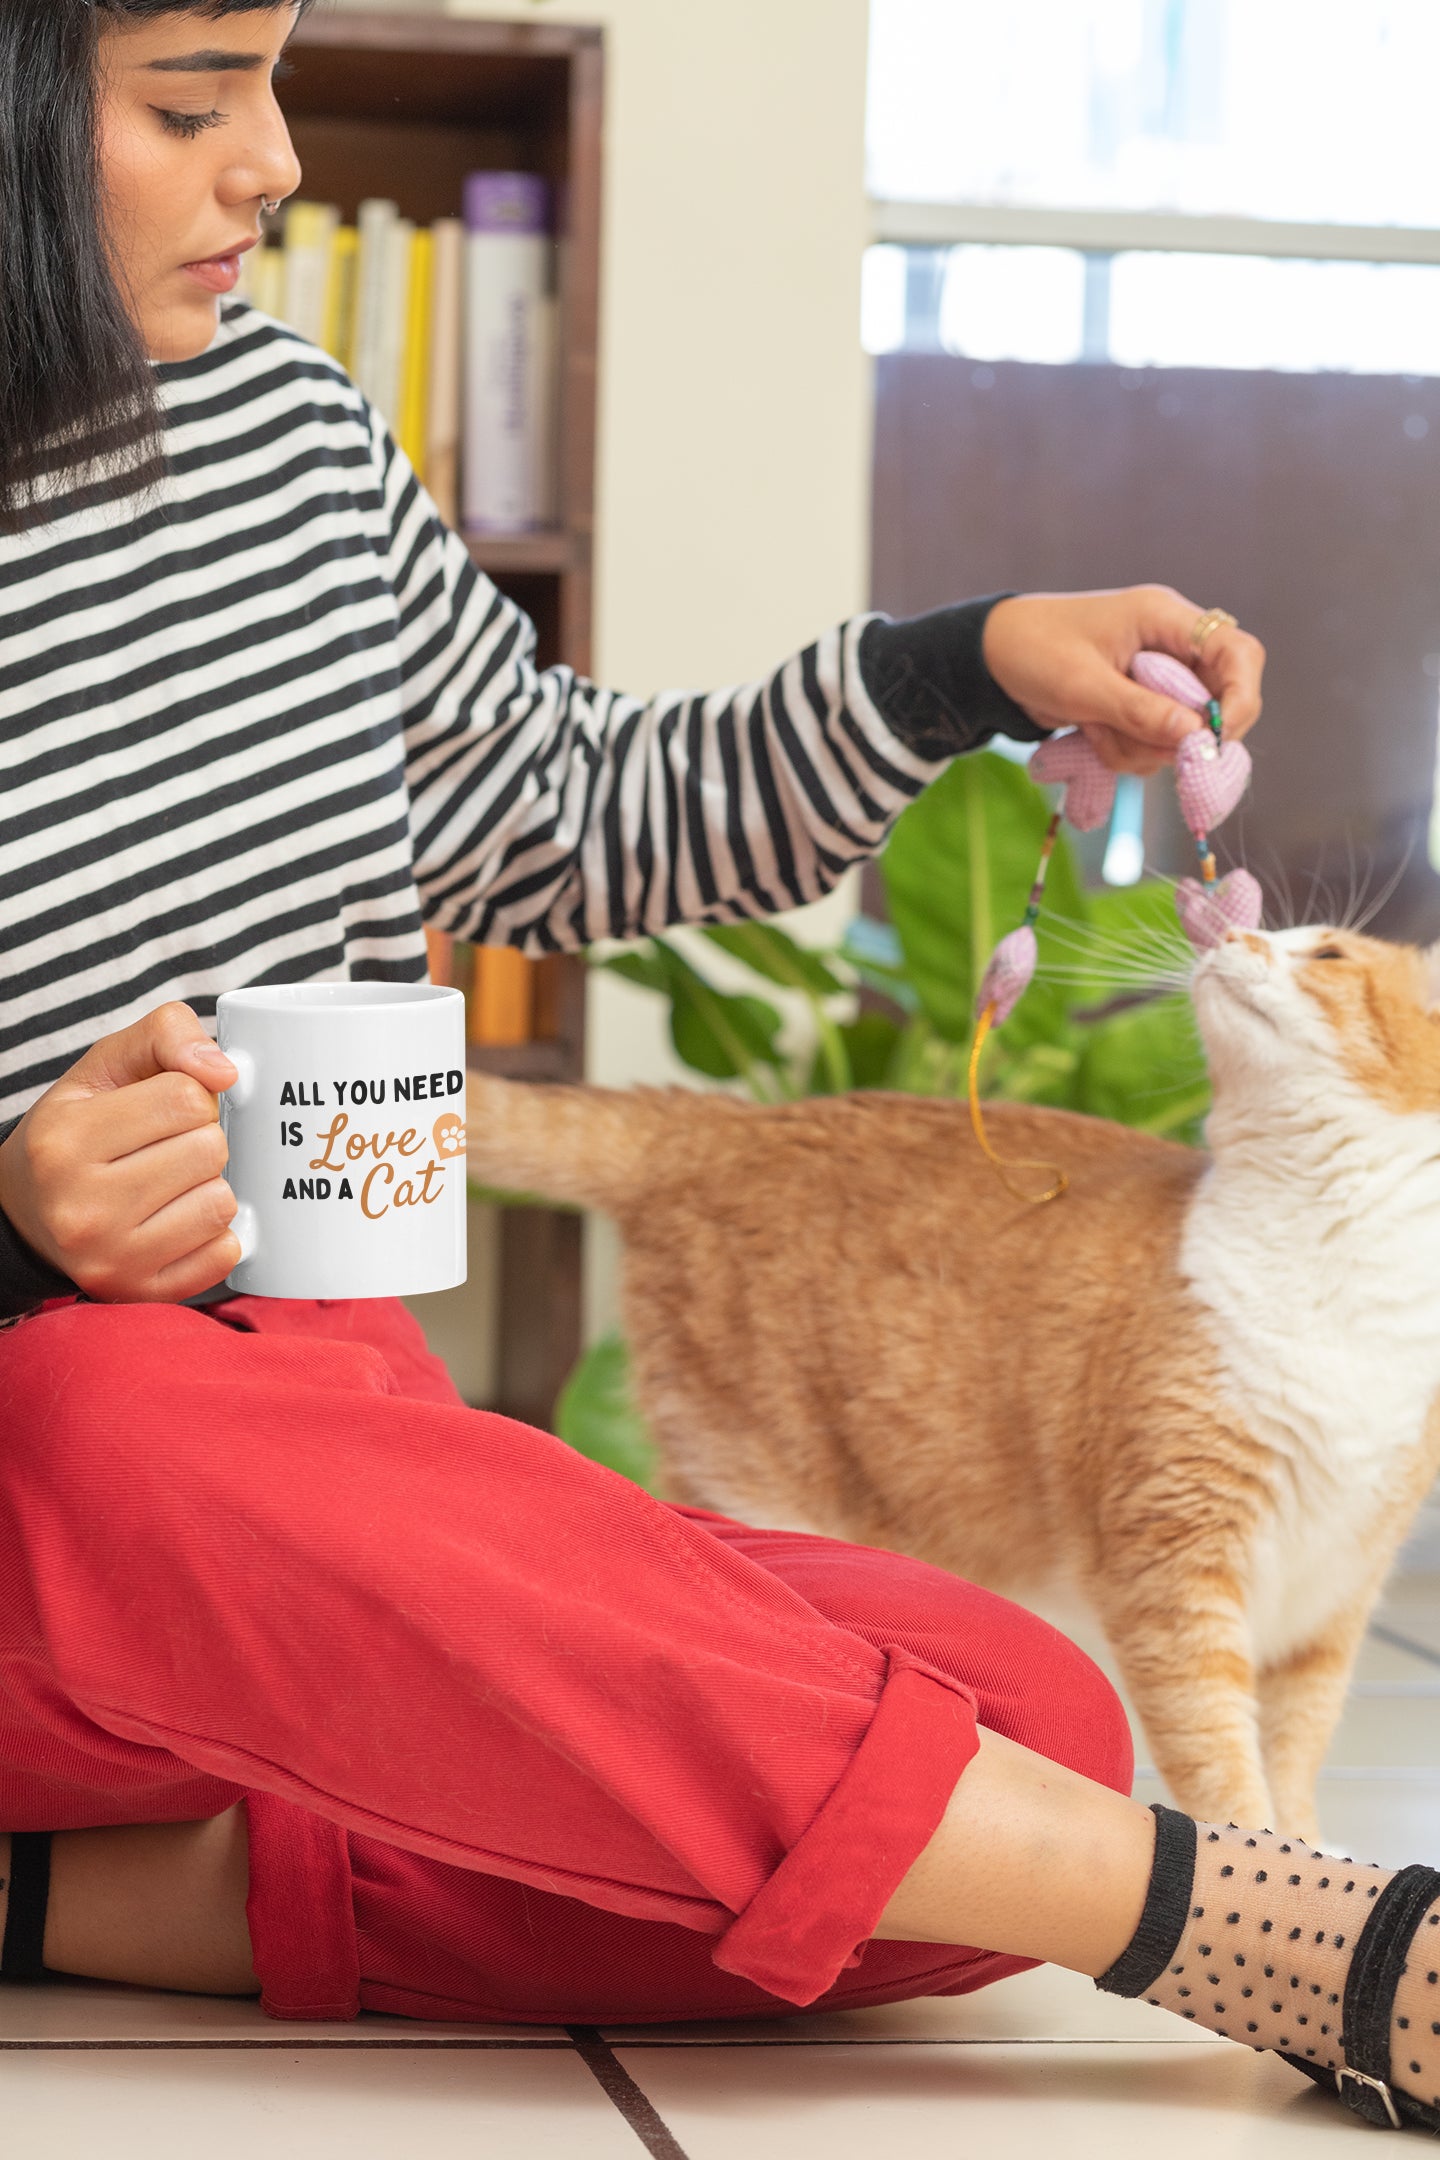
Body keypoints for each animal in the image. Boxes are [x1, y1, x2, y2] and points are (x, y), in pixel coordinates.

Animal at [470, 928, 1440, 1840]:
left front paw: (1316, 1848)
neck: (1337, 1262)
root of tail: (739, 1121)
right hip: (767, 1488)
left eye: (1327, 952)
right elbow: (1221, 1758)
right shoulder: (1175, 1570)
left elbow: (1296, 1748)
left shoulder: (1335, 1592)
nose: (1230, 934)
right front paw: (1258, 1855)